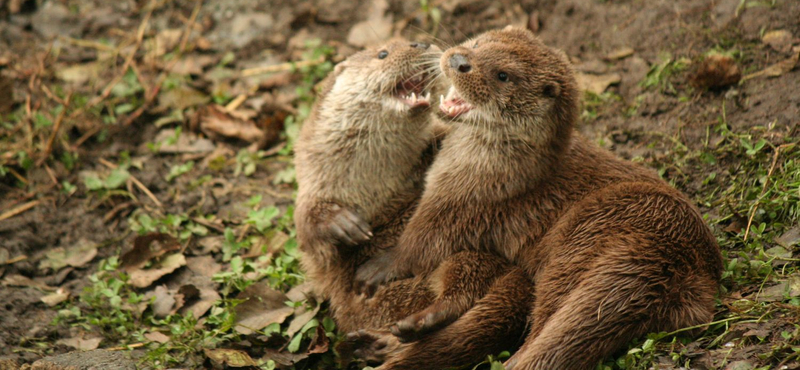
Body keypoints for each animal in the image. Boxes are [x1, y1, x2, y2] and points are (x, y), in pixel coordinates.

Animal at [292, 39, 532, 370]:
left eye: (408, 41)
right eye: (382, 54)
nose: (420, 43)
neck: (376, 182)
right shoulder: (312, 184)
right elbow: (307, 228)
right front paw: (343, 224)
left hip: (469, 258)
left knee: (464, 286)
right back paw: (378, 344)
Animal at [356, 27, 724, 368]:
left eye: (503, 75)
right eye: (477, 44)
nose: (459, 60)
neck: (499, 169)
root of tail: (668, 259)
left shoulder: (461, 203)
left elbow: (418, 247)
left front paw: (375, 268)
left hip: (580, 239)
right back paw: (382, 342)